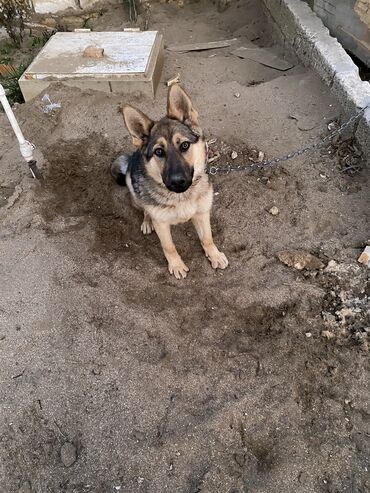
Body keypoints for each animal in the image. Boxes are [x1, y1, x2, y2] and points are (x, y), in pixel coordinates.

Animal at [111, 82, 228, 278]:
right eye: (159, 151)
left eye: (185, 145)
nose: (177, 181)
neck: (182, 197)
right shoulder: (162, 225)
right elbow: (169, 247)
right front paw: (176, 265)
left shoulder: (203, 213)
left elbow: (207, 238)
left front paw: (214, 255)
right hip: (133, 190)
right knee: (145, 209)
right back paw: (147, 221)